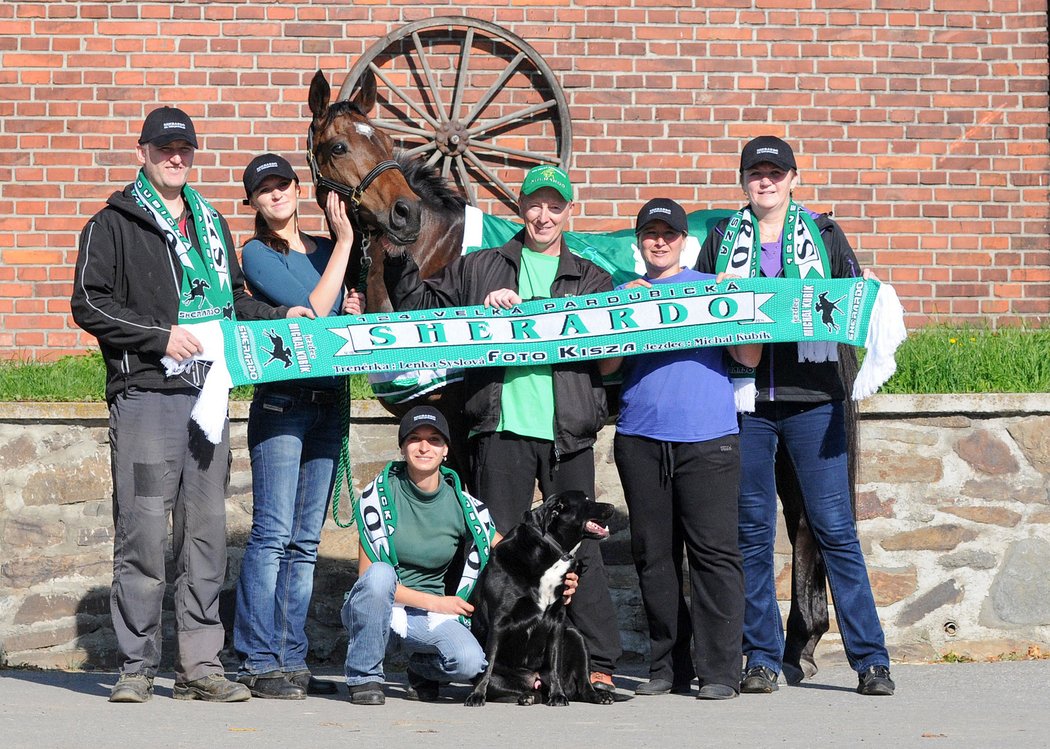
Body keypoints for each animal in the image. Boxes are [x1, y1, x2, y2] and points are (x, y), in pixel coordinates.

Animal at [306, 67, 852, 680]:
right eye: (339, 146)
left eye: (383, 141)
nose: (404, 214)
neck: (434, 262)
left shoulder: (460, 429)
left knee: (806, 521)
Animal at [461, 491, 613, 705]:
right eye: (586, 501)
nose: (612, 507)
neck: (553, 553)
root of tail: (536, 680)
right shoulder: (499, 620)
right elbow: (488, 662)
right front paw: (476, 695)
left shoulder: (557, 621)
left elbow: (554, 663)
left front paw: (558, 696)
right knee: (509, 688)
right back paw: (526, 696)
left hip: (575, 636)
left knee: (583, 684)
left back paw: (597, 695)